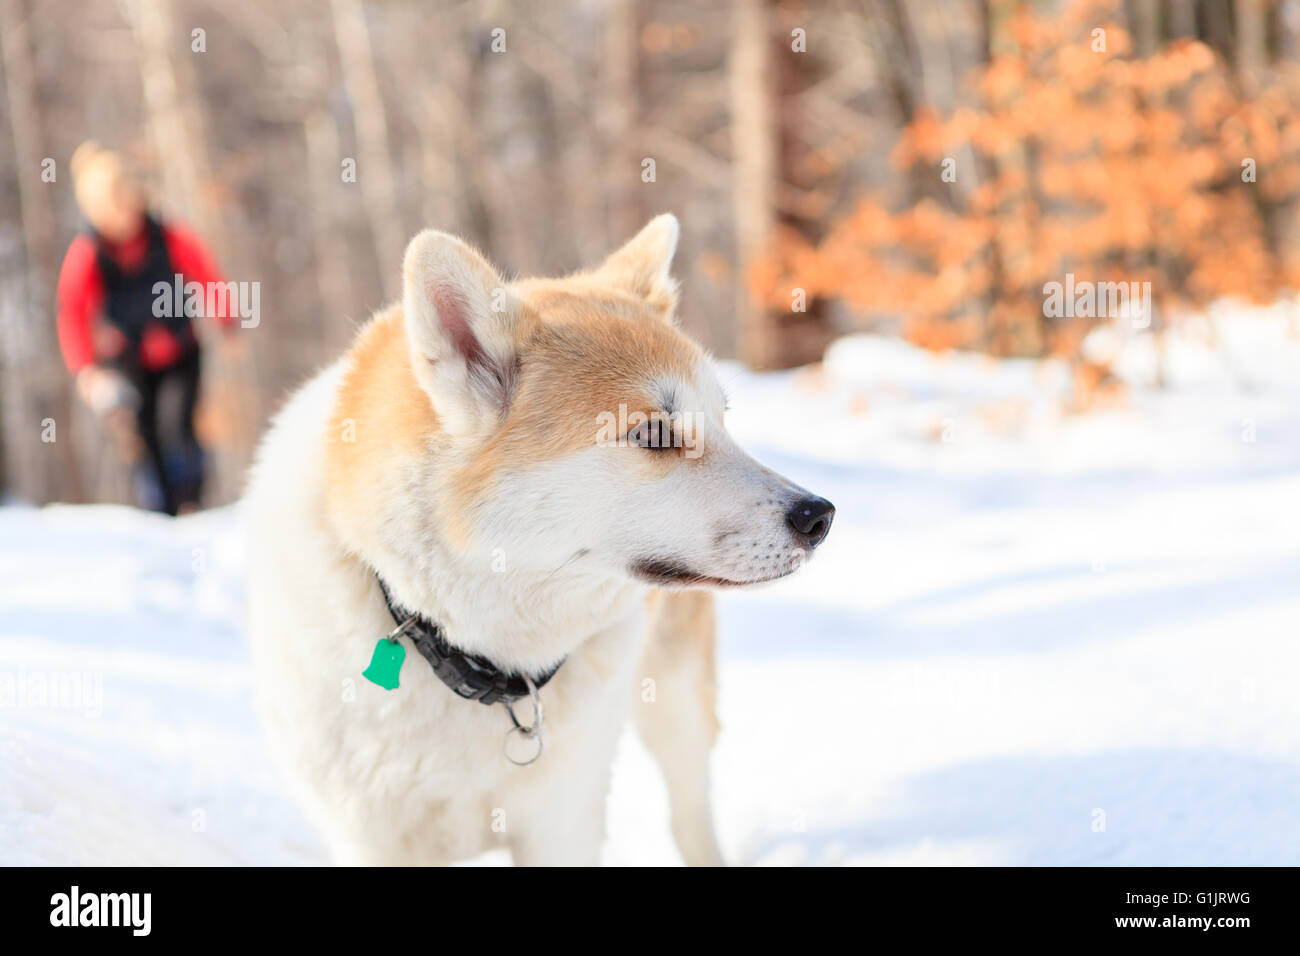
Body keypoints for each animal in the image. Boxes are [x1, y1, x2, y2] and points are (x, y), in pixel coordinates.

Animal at [243, 217, 832, 868]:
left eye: (722, 421)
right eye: (655, 433)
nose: (819, 516)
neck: (478, 660)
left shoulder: (563, 823)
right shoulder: (370, 839)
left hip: (677, 707)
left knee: (688, 813)